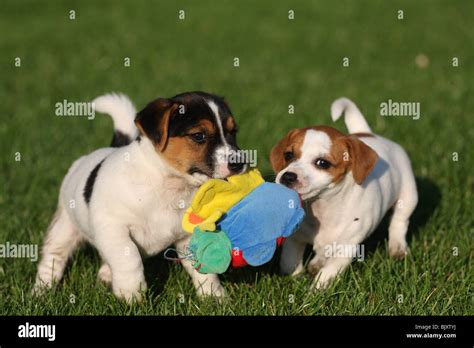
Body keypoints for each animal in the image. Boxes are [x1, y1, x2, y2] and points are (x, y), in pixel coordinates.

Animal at [34, 91, 246, 300]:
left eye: (233, 132)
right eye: (199, 135)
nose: (240, 162)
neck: (168, 185)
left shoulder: (189, 234)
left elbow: (204, 267)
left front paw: (214, 297)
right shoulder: (113, 227)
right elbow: (129, 258)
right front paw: (131, 294)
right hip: (64, 227)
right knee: (54, 258)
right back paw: (42, 290)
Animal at [270, 97, 418, 288]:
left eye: (322, 163)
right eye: (288, 155)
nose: (288, 176)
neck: (323, 207)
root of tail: (367, 133)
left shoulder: (347, 246)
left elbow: (330, 269)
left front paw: (317, 289)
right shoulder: (294, 239)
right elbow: (289, 262)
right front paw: (295, 279)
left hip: (408, 196)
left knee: (399, 222)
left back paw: (398, 247)